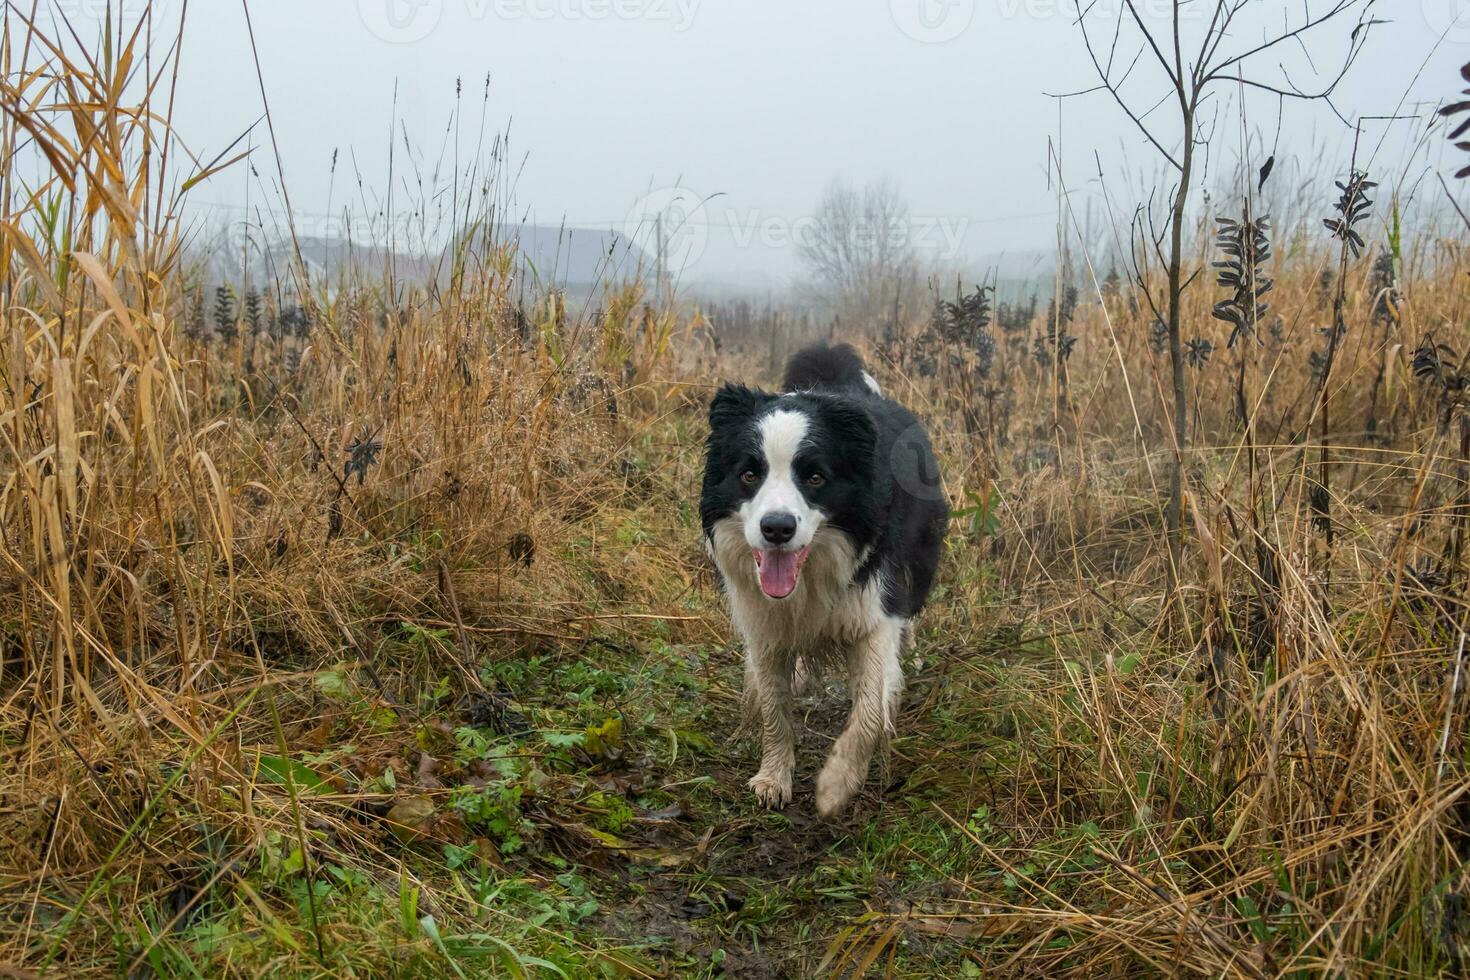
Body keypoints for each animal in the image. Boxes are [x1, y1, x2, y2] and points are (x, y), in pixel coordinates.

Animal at [702, 340, 952, 816]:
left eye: (815, 477)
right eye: (749, 474)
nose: (777, 529)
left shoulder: (874, 611)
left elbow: (869, 710)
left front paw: (836, 785)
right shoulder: (763, 623)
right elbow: (774, 707)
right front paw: (772, 778)